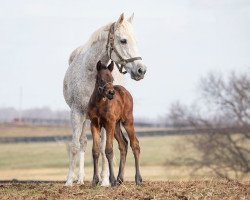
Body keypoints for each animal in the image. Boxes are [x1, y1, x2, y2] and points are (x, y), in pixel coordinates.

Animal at [63, 13, 147, 187]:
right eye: (123, 40)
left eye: (135, 41)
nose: (141, 70)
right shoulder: (77, 113)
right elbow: (75, 145)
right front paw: (69, 180)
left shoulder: (106, 121)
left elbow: (103, 148)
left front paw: (105, 180)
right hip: (87, 119)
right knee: (84, 143)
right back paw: (80, 179)